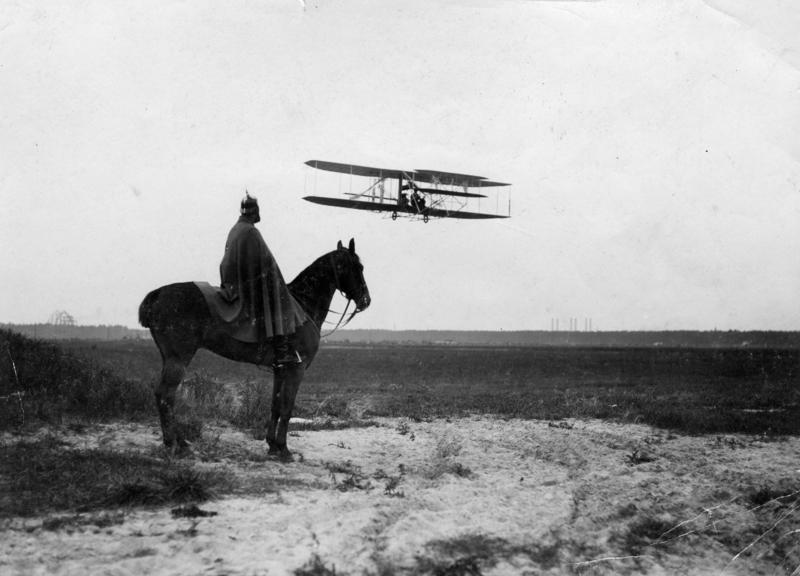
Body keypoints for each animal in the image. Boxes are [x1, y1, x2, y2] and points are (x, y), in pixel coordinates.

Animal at [138, 238, 372, 460]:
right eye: (358, 267)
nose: (366, 300)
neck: (302, 306)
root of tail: (158, 294)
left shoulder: (281, 369)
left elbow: (275, 405)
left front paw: (272, 445)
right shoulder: (297, 369)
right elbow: (287, 407)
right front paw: (284, 449)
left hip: (169, 358)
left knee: (164, 396)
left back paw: (179, 442)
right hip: (179, 359)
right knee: (166, 396)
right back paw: (175, 444)